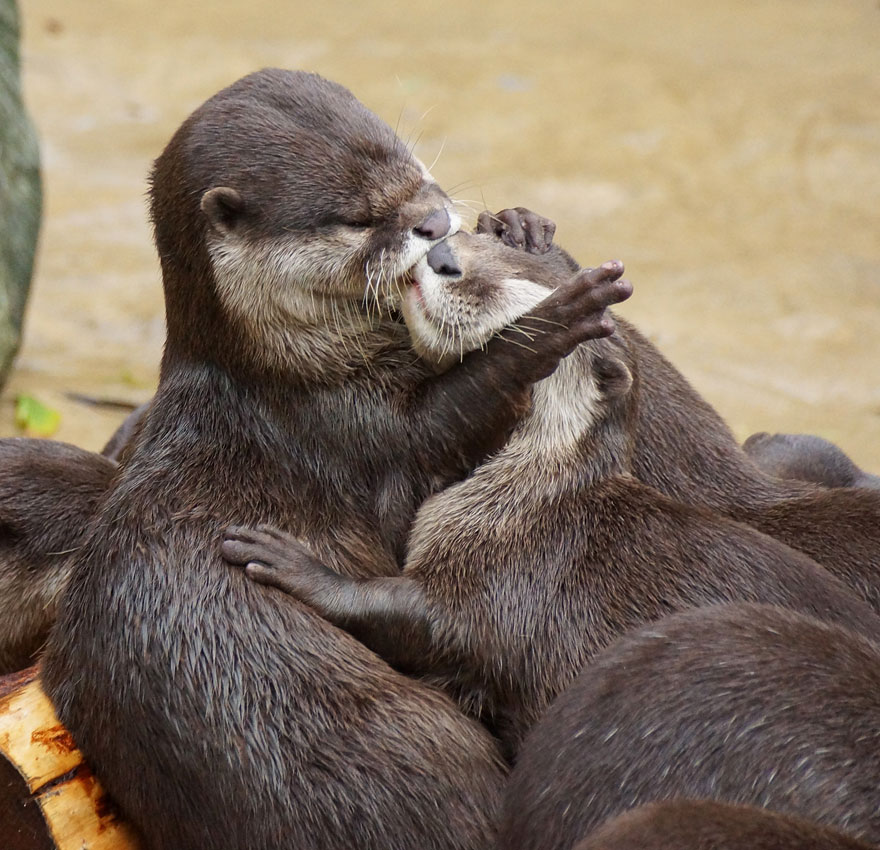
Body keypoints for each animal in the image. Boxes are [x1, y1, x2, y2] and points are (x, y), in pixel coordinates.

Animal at [41, 70, 629, 850]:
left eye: (409, 159)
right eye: (355, 218)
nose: (434, 222)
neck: (293, 371)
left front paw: (524, 226)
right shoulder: (348, 432)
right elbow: (447, 423)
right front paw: (549, 326)